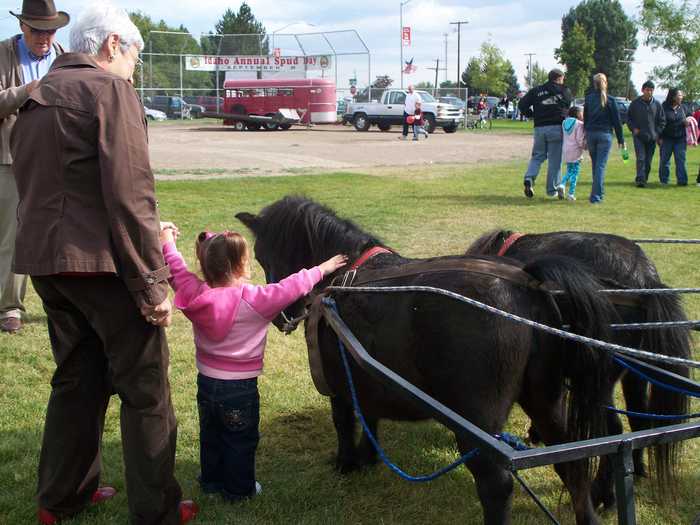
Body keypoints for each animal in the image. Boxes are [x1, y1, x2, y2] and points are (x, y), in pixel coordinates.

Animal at [239, 198, 616, 524]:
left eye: (261, 255)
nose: (282, 317)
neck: (343, 278)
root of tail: (527, 285)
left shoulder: (338, 380)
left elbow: (344, 419)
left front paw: (346, 462)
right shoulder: (368, 373)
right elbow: (369, 415)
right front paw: (368, 457)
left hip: (478, 423)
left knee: (496, 484)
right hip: (545, 401)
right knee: (572, 464)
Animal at [468, 230, 692, 508]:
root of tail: (645, 279)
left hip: (598, 379)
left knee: (614, 432)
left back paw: (602, 493)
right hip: (632, 372)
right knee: (639, 419)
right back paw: (637, 468)